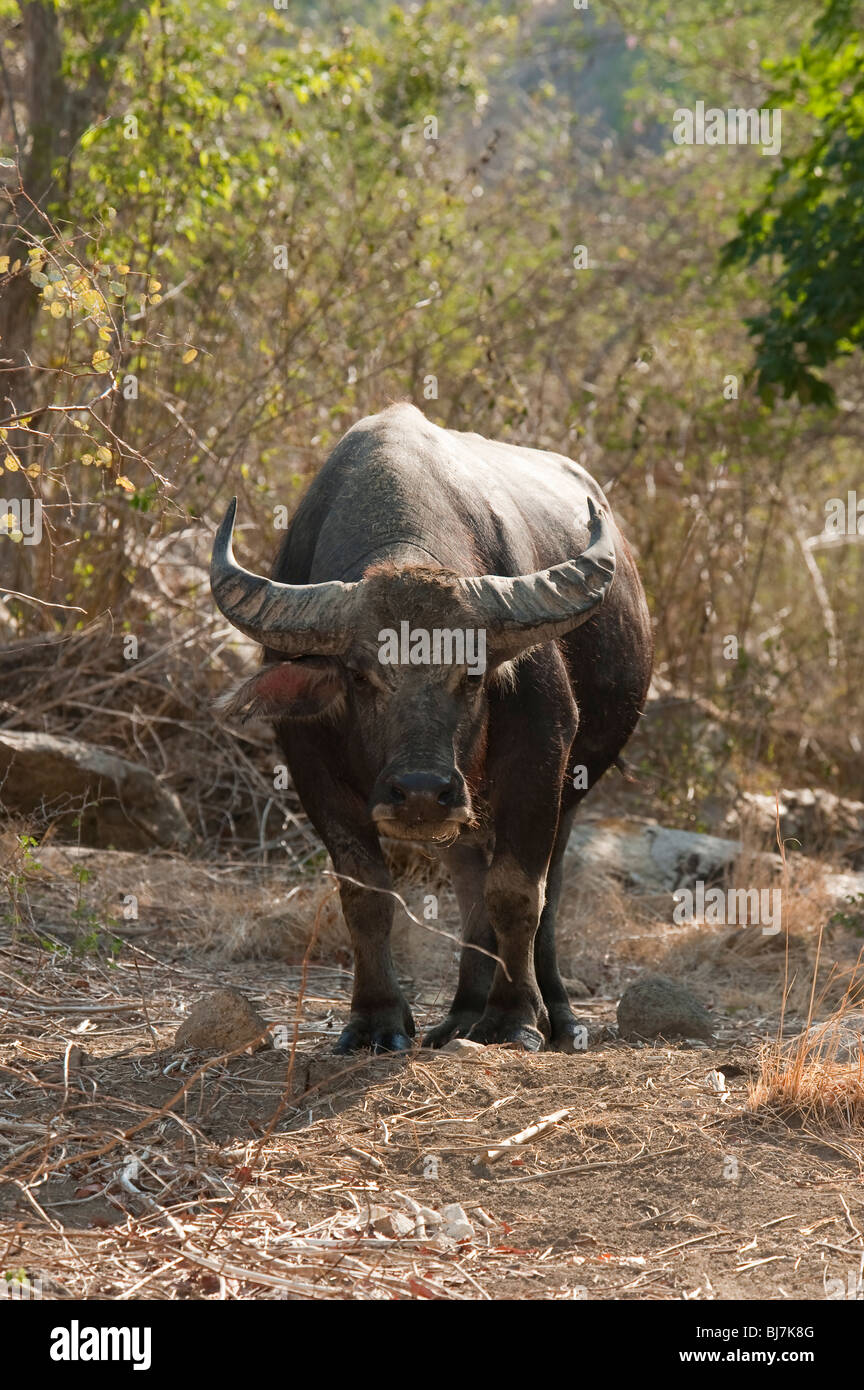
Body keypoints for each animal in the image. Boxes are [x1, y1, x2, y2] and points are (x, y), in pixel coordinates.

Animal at [211, 403, 652, 1053]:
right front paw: (376, 1018)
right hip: (467, 811)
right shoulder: (311, 768)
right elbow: (365, 895)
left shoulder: (541, 757)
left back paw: (557, 1016)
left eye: (472, 673)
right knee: (470, 883)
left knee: (546, 893)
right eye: (360, 675)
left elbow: (517, 891)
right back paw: (464, 1012)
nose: (420, 791)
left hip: (568, 789)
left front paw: (514, 1017)